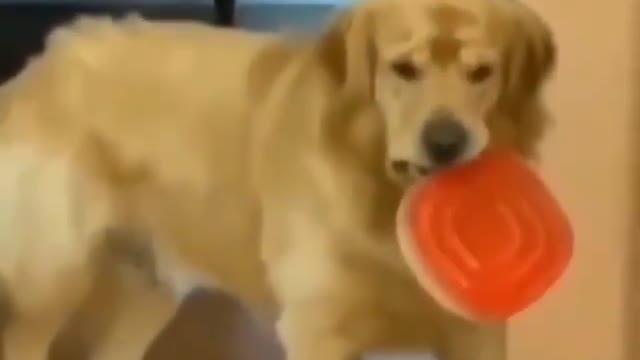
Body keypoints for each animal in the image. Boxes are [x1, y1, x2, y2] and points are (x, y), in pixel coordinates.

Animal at [0, 0, 552, 358]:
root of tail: (46, 57)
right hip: (51, 284)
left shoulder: (476, 336)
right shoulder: (318, 332)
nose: (446, 142)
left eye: (482, 73)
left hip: (146, 290)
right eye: (403, 70)